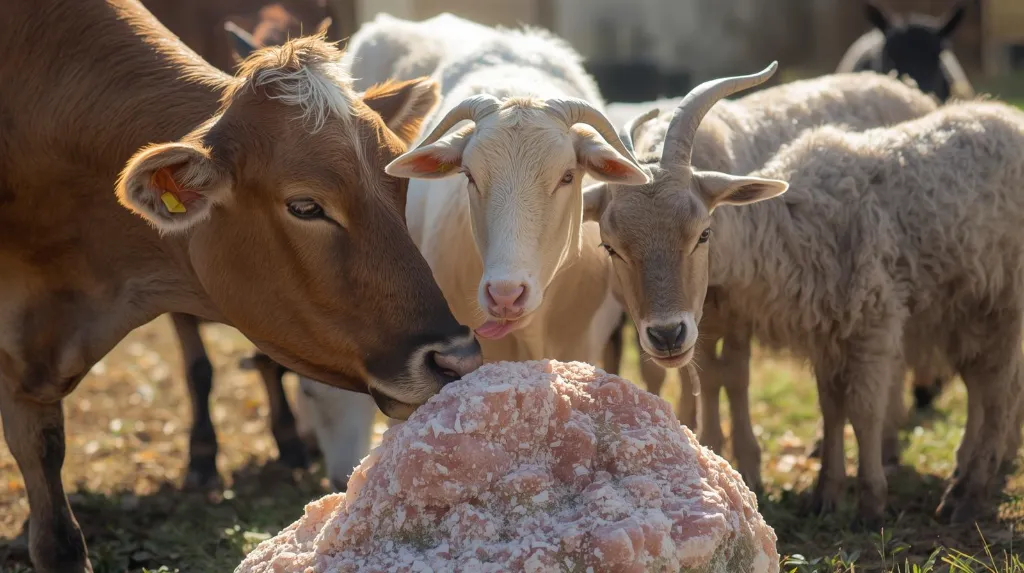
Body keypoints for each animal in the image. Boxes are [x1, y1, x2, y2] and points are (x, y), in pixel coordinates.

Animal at [586, 62, 1024, 526]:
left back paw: (968, 490)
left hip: (1001, 301)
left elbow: (859, 407)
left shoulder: (870, 318)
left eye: (703, 233)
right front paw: (823, 493)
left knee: (998, 388)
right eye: (610, 247)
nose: (667, 335)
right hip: (966, 308)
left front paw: (869, 502)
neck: (791, 224)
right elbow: (828, 405)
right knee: (981, 383)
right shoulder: (818, 330)